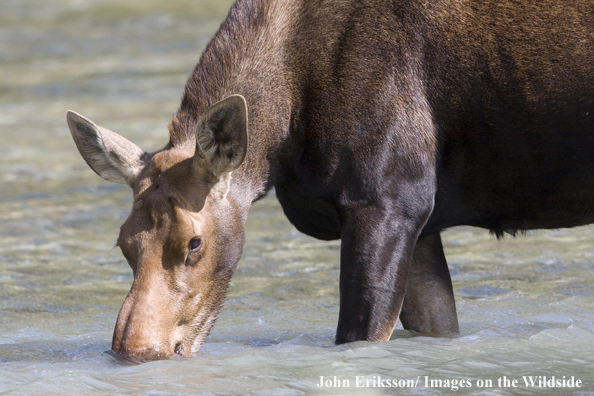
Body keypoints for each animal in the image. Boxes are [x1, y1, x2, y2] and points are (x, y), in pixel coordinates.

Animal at [67, 0, 592, 362]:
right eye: (123, 243)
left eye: (194, 243)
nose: (135, 351)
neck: (284, 138)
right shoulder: (423, 223)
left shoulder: (388, 202)